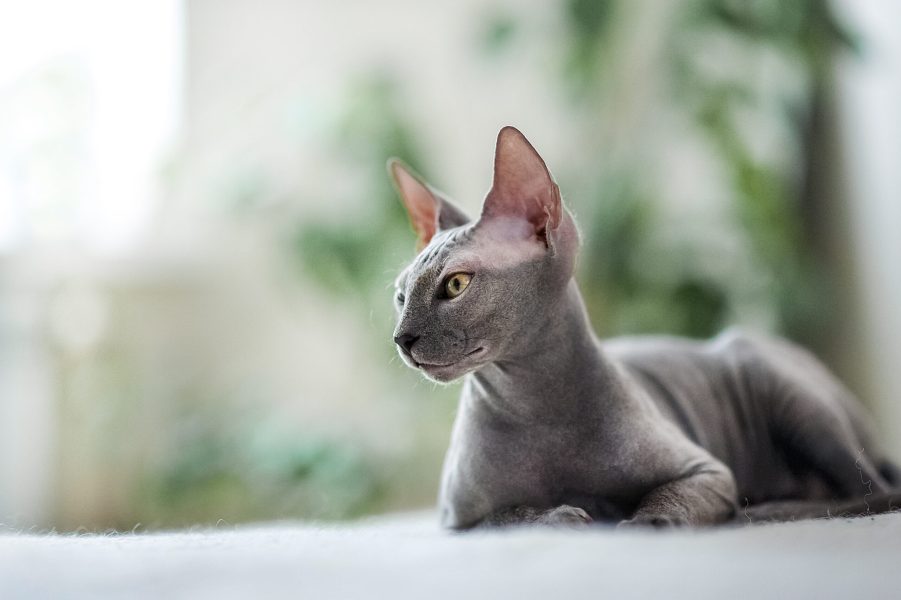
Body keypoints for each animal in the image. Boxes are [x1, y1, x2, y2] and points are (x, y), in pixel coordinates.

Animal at [388, 126, 900, 528]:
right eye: (401, 295)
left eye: (456, 284)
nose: (401, 339)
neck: (536, 402)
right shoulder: (457, 519)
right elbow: (508, 516)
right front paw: (562, 515)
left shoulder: (706, 471)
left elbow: (666, 496)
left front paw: (643, 521)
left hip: (780, 387)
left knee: (869, 490)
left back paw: (770, 508)